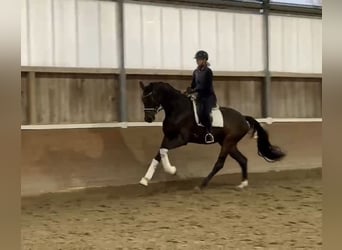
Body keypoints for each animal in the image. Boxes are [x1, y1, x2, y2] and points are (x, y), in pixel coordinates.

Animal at [139, 81, 286, 188]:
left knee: (220, 164)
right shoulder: (168, 137)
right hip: (229, 143)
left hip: (228, 142)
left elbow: (163, 150)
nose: (148, 119)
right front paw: (145, 179)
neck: (177, 109)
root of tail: (243, 118)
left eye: (151, 98)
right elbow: (160, 152)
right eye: (143, 100)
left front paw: (172, 170)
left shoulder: (181, 139)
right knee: (243, 159)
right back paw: (243, 184)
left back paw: (202, 185)